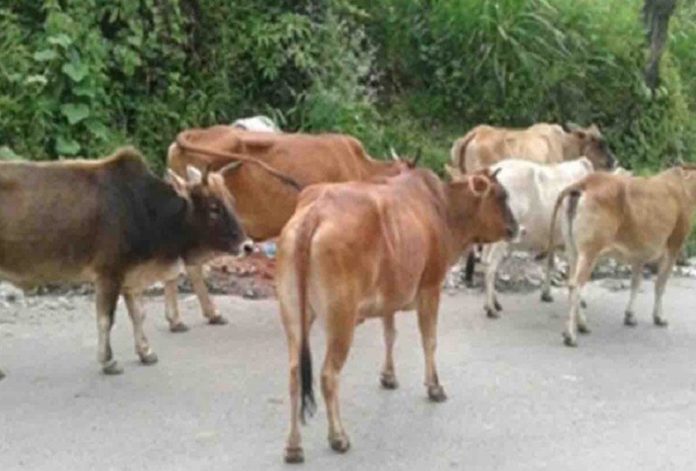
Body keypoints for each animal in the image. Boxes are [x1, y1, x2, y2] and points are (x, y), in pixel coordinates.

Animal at [0, 148, 250, 380]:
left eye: (231, 201)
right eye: (214, 208)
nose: (247, 245)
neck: (145, 209)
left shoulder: (131, 276)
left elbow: (139, 314)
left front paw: (146, 352)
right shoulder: (109, 274)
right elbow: (106, 319)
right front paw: (109, 362)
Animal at [276, 168, 516, 462]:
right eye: (501, 195)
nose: (516, 228)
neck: (443, 209)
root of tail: (315, 212)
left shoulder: (389, 297)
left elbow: (390, 335)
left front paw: (388, 376)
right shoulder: (430, 287)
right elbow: (429, 341)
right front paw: (434, 387)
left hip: (293, 316)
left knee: (295, 374)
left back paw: (293, 446)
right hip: (341, 319)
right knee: (328, 375)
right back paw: (338, 437)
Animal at [484, 158, 592, 318]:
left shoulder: (553, 240)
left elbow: (550, 263)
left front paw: (546, 294)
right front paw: (580, 301)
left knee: (486, 262)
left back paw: (493, 303)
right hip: (502, 238)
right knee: (491, 267)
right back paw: (491, 309)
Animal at [548, 166, 696, 346]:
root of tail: (583, 183)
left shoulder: (639, 255)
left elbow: (635, 283)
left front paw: (630, 316)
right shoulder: (674, 245)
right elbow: (660, 285)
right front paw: (659, 317)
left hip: (573, 250)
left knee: (571, 284)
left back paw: (580, 326)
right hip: (590, 252)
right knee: (576, 286)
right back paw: (571, 335)